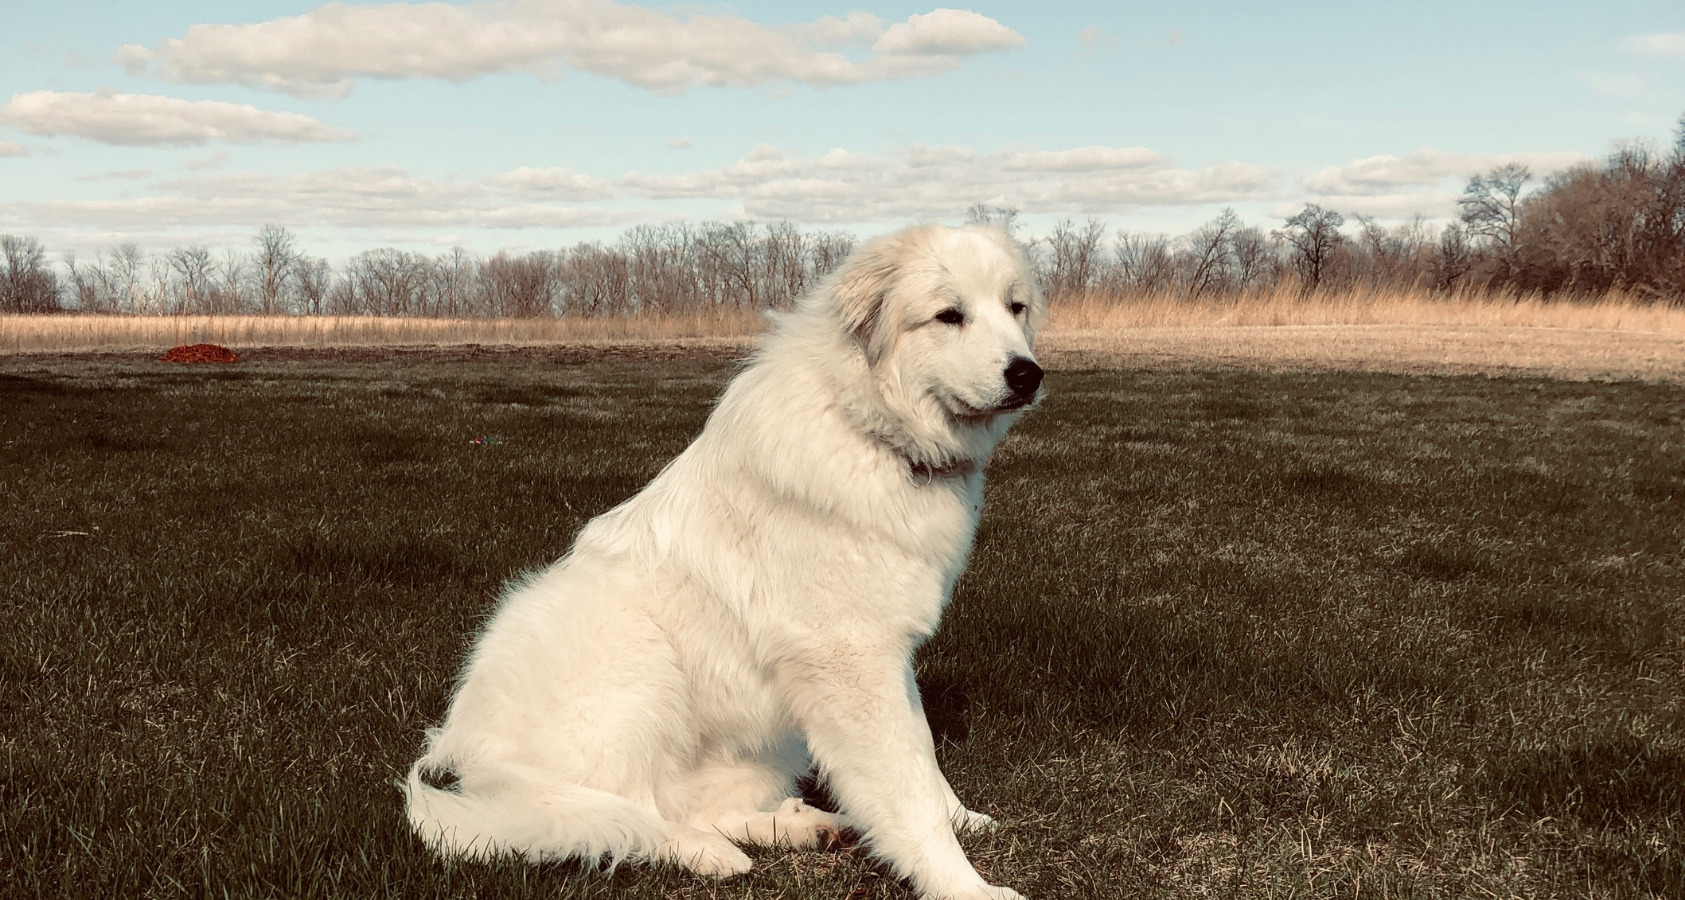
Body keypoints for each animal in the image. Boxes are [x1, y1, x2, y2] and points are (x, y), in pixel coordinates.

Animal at [402, 222, 1044, 896]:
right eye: (950, 315)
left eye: (1015, 308)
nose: (1028, 374)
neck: (869, 429)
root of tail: (462, 746)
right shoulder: (852, 664)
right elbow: (908, 788)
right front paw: (964, 885)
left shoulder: (885, 657)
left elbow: (922, 754)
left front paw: (963, 818)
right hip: (637, 664)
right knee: (624, 814)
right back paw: (707, 853)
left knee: (686, 806)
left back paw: (803, 827)